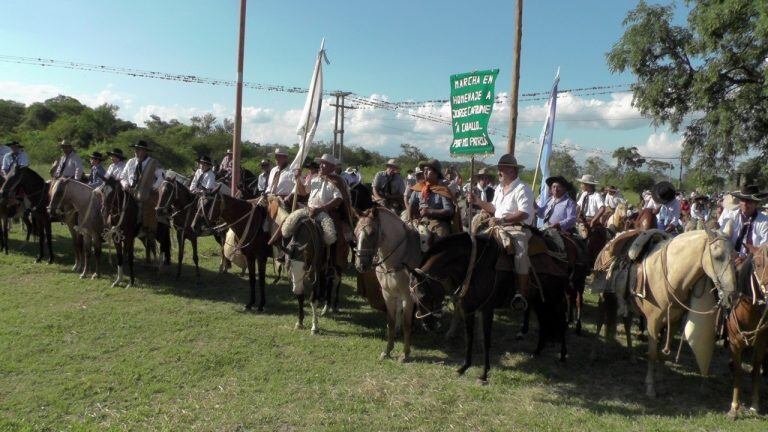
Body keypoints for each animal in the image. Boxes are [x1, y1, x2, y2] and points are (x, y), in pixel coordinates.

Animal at [356, 206, 424, 362]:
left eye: (372, 232)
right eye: (356, 232)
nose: (360, 265)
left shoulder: (408, 296)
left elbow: (407, 324)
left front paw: (405, 354)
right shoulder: (388, 294)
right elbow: (391, 322)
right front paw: (387, 351)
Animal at [632, 230, 740, 398]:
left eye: (735, 256)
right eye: (717, 256)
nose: (732, 297)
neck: (669, 276)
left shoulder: (674, 321)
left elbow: (663, 354)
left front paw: (661, 382)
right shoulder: (653, 322)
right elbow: (652, 354)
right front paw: (650, 387)